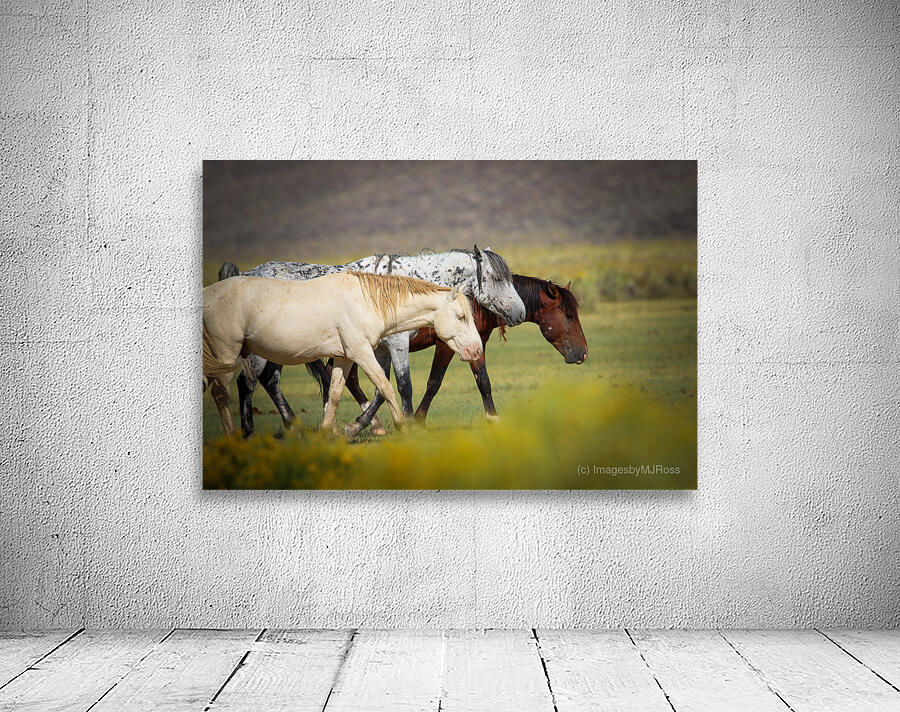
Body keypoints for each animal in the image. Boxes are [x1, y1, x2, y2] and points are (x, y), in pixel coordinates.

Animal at [218, 246, 525, 437]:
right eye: (497, 278)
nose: (520, 313)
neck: (403, 284)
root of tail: (243, 276)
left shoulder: (381, 349)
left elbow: (380, 388)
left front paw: (359, 426)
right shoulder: (398, 345)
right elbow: (403, 385)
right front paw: (407, 424)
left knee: (270, 382)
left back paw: (295, 427)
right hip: (260, 354)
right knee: (247, 384)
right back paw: (248, 432)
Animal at [339, 274, 588, 434]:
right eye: (568, 315)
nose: (583, 353)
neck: (476, 301)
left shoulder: (478, 345)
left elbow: (483, 381)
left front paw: (493, 419)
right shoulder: (447, 346)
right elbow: (435, 382)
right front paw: (419, 420)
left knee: (351, 381)